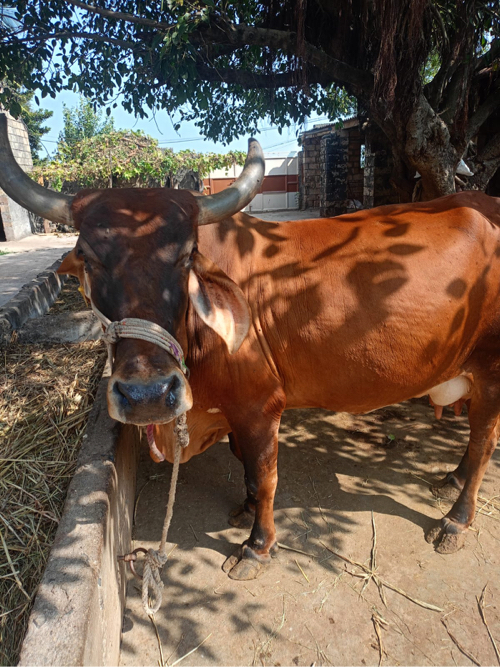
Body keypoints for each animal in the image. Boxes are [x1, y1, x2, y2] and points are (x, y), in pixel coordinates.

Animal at [0, 115, 500, 580]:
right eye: (87, 255)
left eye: (186, 254)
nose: (147, 395)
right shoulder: (235, 411)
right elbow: (244, 464)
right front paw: (243, 508)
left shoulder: (261, 407)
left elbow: (265, 475)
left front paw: (257, 546)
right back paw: (450, 480)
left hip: (492, 373)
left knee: (482, 442)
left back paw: (455, 520)